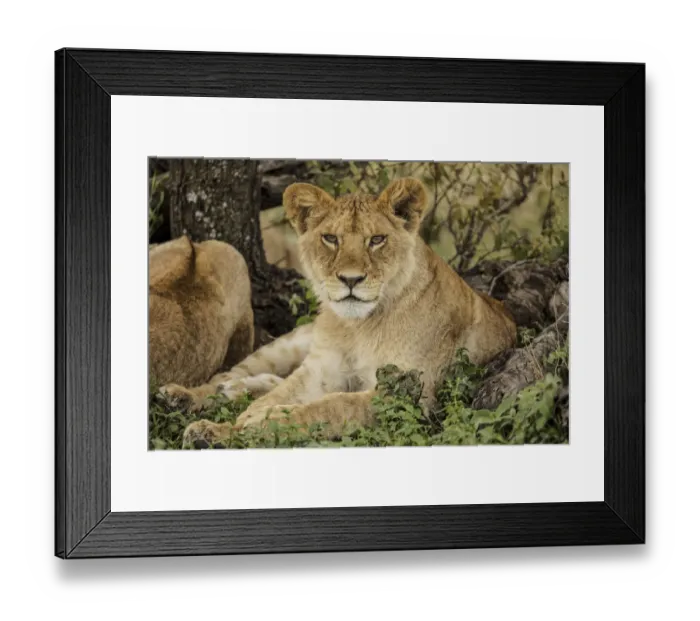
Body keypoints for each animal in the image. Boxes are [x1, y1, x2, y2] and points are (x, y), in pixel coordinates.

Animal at [179, 178, 516, 447]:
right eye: (331, 238)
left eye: (377, 240)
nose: (351, 279)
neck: (359, 327)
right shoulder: (319, 371)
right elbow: (284, 394)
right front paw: (226, 427)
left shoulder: (406, 393)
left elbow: (331, 406)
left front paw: (260, 422)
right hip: (289, 344)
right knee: (235, 372)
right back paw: (186, 395)